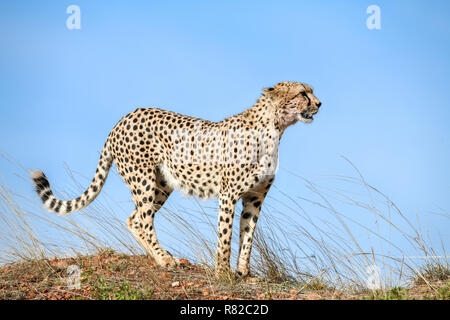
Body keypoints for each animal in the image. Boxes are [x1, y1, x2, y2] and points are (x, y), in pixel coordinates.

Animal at [30, 81, 320, 276]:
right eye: (302, 93)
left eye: (310, 91)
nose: (319, 104)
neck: (275, 128)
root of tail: (122, 119)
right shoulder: (228, 195)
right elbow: (225, 237)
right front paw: (223, 273)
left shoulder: (255, 197)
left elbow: (247, 236)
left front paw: (244, 273)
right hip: (143, 179)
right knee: (143, 220)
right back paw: (163, 260)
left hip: (162, 185)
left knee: (133, 219)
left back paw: (159, 256)